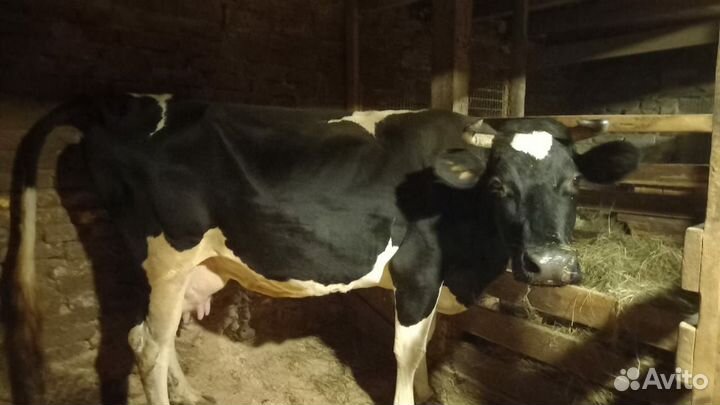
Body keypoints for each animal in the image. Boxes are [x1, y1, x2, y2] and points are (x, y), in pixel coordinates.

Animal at [8, 94, 639, 405]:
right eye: (499, 185)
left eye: (574, 183)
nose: (551, 266)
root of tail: (120, 103)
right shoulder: (418, 271)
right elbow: (407, 353)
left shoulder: (432, 280)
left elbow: (428, 345)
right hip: (165, 254)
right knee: (145, 343)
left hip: (195, 262)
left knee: (161, 342)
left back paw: (191, 395)